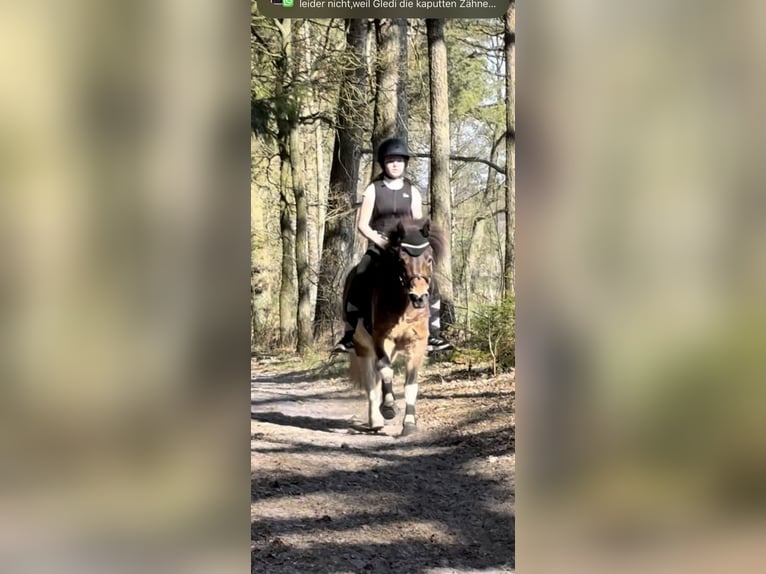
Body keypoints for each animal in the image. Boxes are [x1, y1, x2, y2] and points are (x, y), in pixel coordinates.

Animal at [345, 217, 445, 437]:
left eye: (429, 259)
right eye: (401, 260)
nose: (418, 297)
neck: (404, 306)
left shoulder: (418, 343)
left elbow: (410, 383)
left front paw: (409, 423)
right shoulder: (382, 338)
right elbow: (385, 370)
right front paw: (389, 408)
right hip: (362, 346)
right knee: (371, 380)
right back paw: (376, 420)